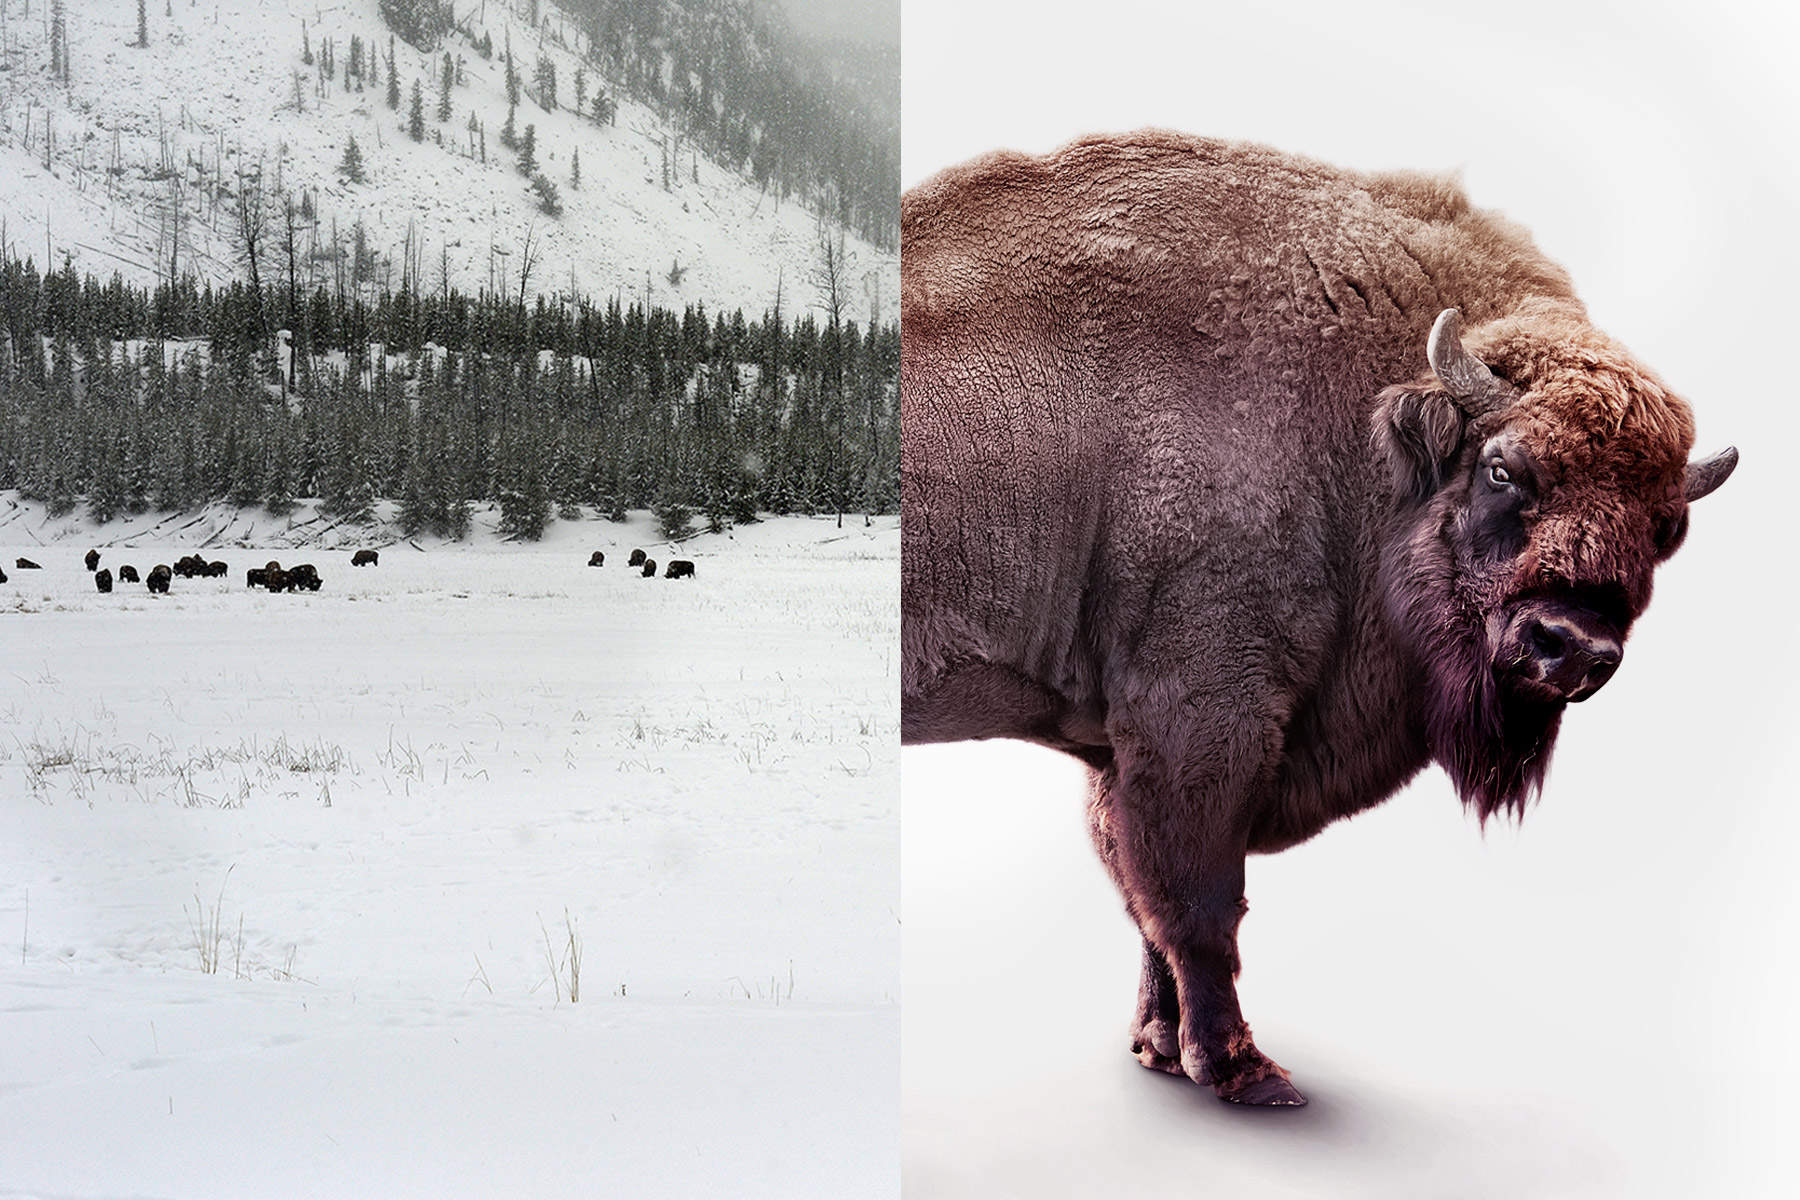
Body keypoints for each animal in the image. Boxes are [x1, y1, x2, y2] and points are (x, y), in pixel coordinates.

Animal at [901, 132, 1737, 1107]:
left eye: (1666, 528)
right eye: (1502, 469)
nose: (1570, 647)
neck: (1363, 434)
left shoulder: (1123, 753)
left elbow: (1144, 899)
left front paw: (1159, 1047)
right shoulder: (1201, 725)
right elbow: (1197, 903)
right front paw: (1244, 1072)